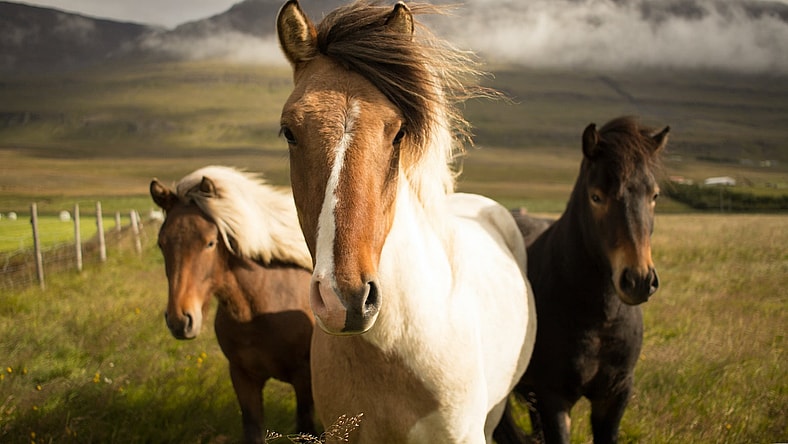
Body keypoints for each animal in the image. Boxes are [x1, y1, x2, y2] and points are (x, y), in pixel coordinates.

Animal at [149, 165, 317, 443]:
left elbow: (307, 429)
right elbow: (253, 430)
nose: (180, 320)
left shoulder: (304, 379)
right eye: (162, 243)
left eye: (210, 242)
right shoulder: (242, 377)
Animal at [495, 116, 670, 444]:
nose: (638, 280)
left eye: (654, 195)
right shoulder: (554, 398)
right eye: (596, 196)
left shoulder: (615, 395)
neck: (600, 319)